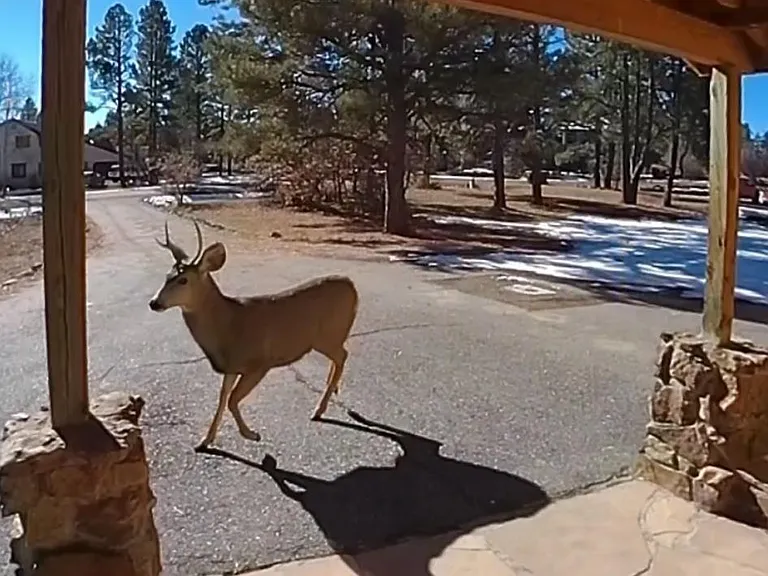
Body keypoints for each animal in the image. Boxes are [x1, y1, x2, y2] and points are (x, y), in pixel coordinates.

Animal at [148, 219, 359, 452]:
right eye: (167, 277)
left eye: (183, 280)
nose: (154, 303)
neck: (228, 327)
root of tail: (352, 286)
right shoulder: (231, 367)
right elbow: (222, 398)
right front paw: (205, 440)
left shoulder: (259, 362)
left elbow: (231, 400)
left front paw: (252, 434)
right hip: (331, 337)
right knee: (339, 358)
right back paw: (331, 394)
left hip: (327, 335)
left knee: (343, 356)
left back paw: (319, 410)